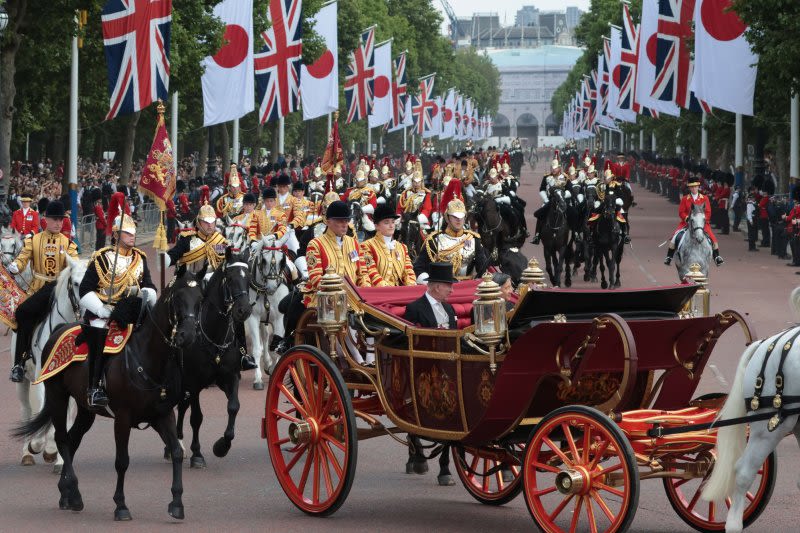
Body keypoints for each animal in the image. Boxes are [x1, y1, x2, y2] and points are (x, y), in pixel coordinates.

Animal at [14, 256, 86, 470]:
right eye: (76, 283)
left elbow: (64, 418)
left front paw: (58, 456)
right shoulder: (41, 378)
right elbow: (40, 408)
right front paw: (38, 444)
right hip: (23, 382)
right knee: (27, 411)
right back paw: (27, 453)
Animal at [173, 248, 252, 466]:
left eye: (248, 277)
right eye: (230, 278)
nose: (243, 310)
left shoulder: (231, 377)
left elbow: (234, 407)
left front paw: (222, 446)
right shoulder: (194, 382)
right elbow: (196, 418)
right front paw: (197, 454)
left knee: (182, 406)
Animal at [247, 231, 296, 388]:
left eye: (282, 260)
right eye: (263, 260)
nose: (272, 288)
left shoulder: (279, 318)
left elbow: (276, 348)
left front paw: (275, 370)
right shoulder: (253, 317)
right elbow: (257, 349)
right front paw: (258, 379)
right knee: (264, 336)